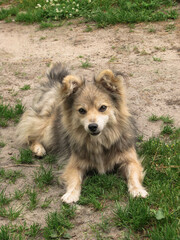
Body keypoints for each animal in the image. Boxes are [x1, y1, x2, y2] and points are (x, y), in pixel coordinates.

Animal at [16, 62, 148, 203]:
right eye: (82, 110)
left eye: (103, 108)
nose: (93, 126)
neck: (100, 141)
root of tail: (55, 82)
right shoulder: (74, 164)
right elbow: (74, 180)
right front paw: (71, 194)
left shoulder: (130, 159)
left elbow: (133, 175)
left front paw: (137, 190)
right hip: (47, 127)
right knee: (30, 135)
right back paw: (38, 149)